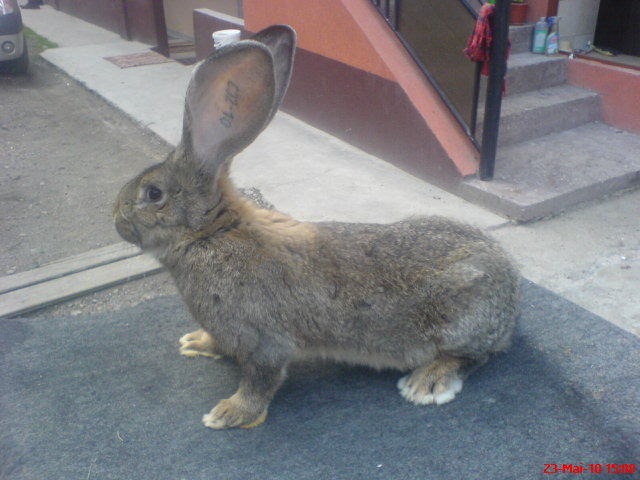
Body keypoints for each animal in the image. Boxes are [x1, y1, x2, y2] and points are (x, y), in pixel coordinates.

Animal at [115, 25, 520, 432]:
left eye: (153, 193)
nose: (117, 221)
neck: (212, 233)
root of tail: (511, 288)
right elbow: (222, 345)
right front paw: (196, 342)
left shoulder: (264, 339)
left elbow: (261, 379)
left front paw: (230, 413)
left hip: (459, 316)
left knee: (473, 356)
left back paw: (428, 383)